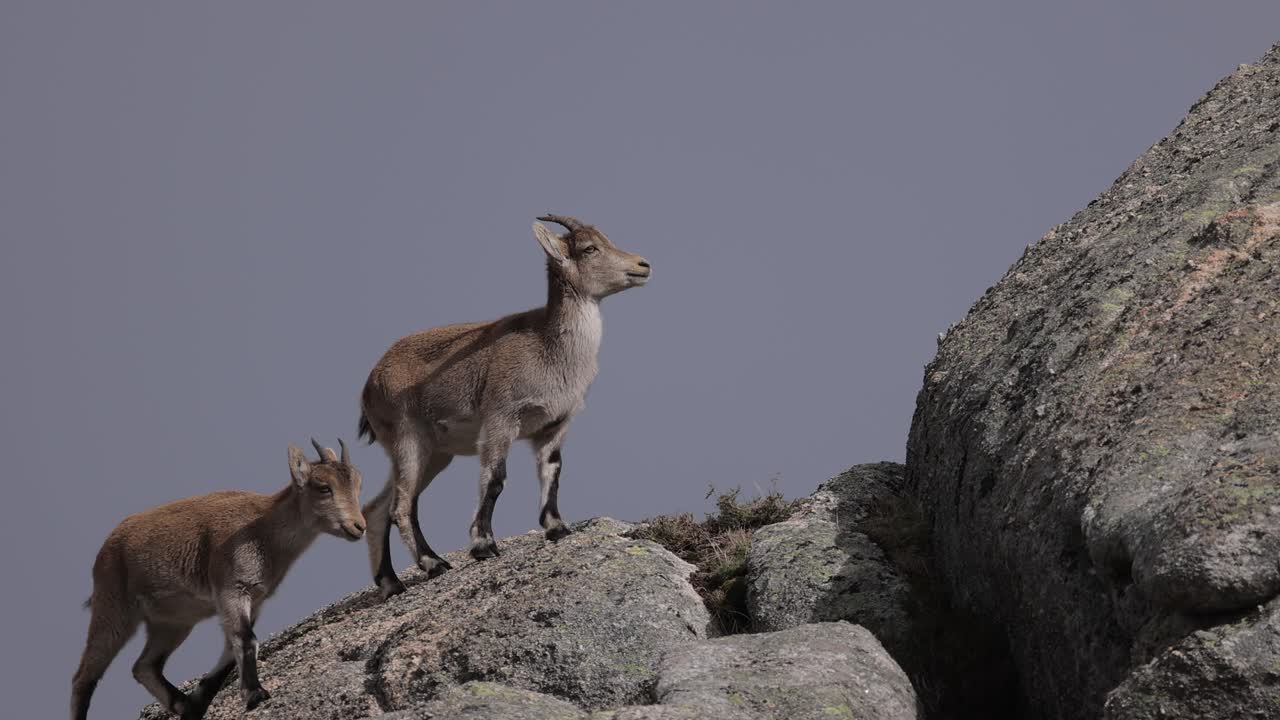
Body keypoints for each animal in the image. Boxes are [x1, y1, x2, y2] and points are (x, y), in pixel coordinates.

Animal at [70, 440, 365, 720]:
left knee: (144, 666)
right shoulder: (232, 589)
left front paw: (200, 700)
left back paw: (182, 704)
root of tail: (107, 546)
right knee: (85, 676)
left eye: (358, 483)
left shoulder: (254, 599)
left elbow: (231, 650)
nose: (358, 526)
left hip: (172, 622)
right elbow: (245, 639)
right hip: (114, 609)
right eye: (324, 487)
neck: (264, 531)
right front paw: (256, 694)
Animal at [358, 214, 651, 599]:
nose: (643, 265)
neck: (549, 347)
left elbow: (553, 471)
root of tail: (369, 384)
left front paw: (557, 528)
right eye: (589, 248)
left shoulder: (555, 425)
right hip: (408, 437)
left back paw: (392, 582)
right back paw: (433, 563)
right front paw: (483, 545)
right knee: (402, 505)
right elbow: (495, 479)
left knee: (377, 507)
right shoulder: (501, 418)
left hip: (434, 452)